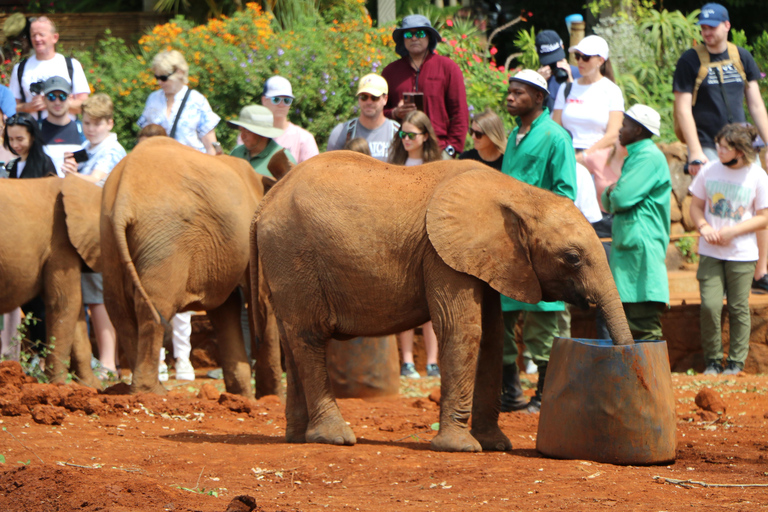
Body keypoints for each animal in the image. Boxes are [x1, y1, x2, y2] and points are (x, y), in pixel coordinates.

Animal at [252, 152, 632, 452]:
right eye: (572, 258)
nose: (626, 355)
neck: (517, 192)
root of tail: (265, 201)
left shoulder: (485, 258)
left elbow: (492, 336)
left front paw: (495, 445)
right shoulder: (441, 254)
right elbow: (461, 329)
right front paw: (460, 448)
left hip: (284, 258)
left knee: (292, 338)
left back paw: (298, 437)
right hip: (293, 251)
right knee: (310, 336)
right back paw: (334, 437)